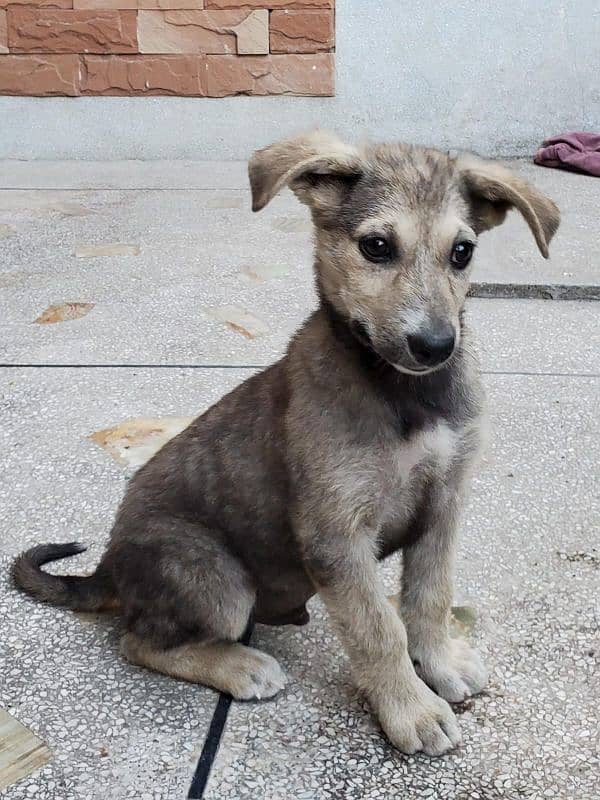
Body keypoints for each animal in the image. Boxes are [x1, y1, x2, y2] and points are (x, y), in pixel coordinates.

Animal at [12, 133, 556, 756]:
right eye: (376, 246)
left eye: (462, 252)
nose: (436, 345)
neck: (404, 395)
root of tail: (107, 566)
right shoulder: (336, 534)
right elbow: (378, 630)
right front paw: (411, 709)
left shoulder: (444, 504)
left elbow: (430, 597)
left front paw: (438, 663)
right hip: (216, 580)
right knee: (137, 641)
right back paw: (240, 666)